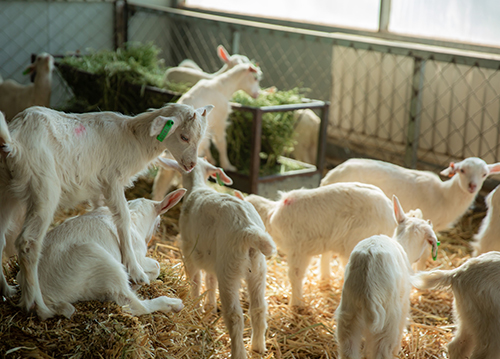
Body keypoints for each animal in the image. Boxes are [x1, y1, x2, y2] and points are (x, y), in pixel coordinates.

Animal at [320, 158, 500, 270]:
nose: (472, 186)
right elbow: (424, 255)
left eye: (484, 174)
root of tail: (328, 177)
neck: (444, 196)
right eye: (461, 170)